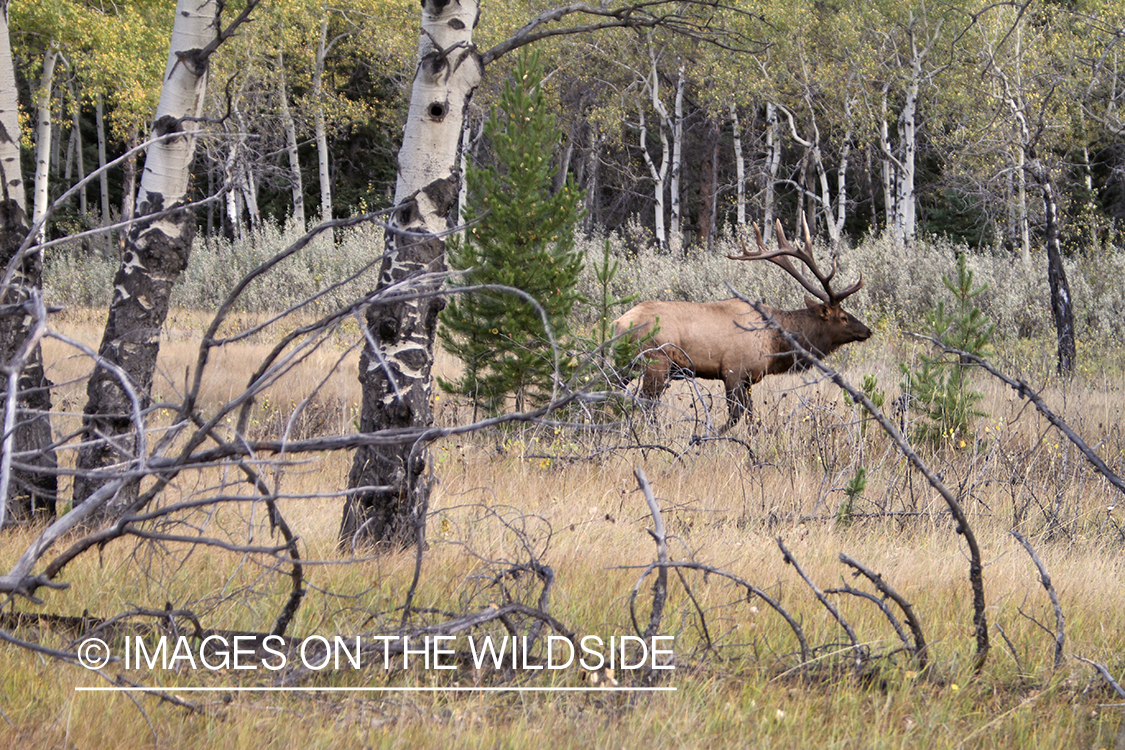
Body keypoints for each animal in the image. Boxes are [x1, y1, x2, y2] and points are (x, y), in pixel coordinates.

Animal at [616, 217, 868, 431]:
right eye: (843, 317)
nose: (867, 330)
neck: (774, 345)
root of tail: (619, 323)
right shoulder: (733, 372)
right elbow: (736, 416)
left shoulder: (748, 379)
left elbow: (751, 418)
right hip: (656, 363)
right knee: (646, 404)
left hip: (626, 364)